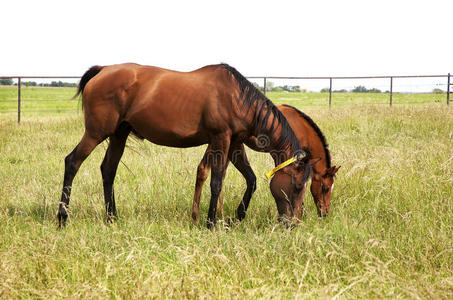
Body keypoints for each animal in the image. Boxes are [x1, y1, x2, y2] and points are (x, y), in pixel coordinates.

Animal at [58, 62, 316, 227]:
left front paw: (236, 217)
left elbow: (250, 179)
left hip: (118, 134)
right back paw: (62, 217)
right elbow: (216, 182)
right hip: (96, 133)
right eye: (297, 187)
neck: (237, 97)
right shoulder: (221, 138)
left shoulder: (234, 143)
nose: (292, 224)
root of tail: (102, 70)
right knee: (72, 162)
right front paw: (211, 222)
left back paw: (112, 218)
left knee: (108, 170)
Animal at [191, 104, 340, 224]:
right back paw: (197, 218)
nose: (324, 213)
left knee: (220, 175)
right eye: (325, 188)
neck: (300, 126)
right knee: (203, 170)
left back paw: (219, 213)